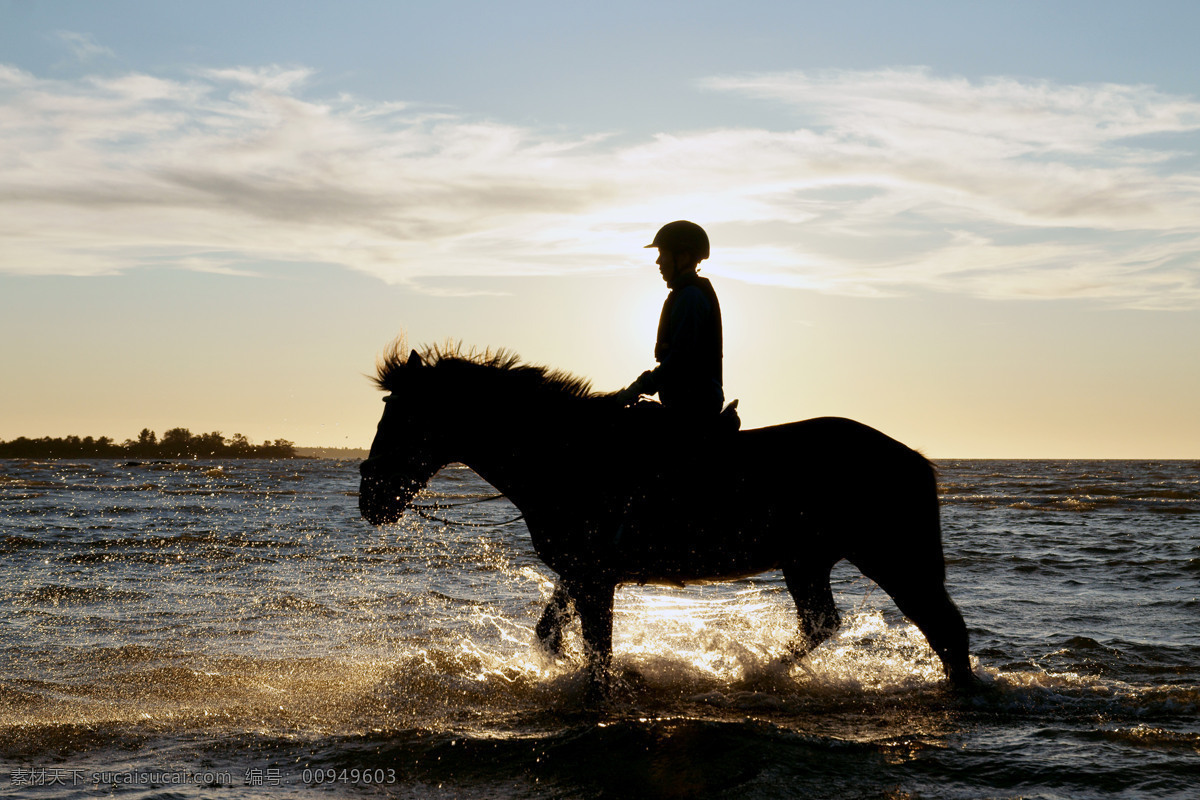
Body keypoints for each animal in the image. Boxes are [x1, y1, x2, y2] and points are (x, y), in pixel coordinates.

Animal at [358, 341, 978, 690]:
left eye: (402, 417)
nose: (371, 500)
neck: (568, 456)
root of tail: (912, 458)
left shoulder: (595, 579)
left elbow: (598, 655)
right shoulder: (582, 573)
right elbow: (550, 634)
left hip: (890, 559)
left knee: (944, 631)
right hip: (808, 562)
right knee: (825, 624)